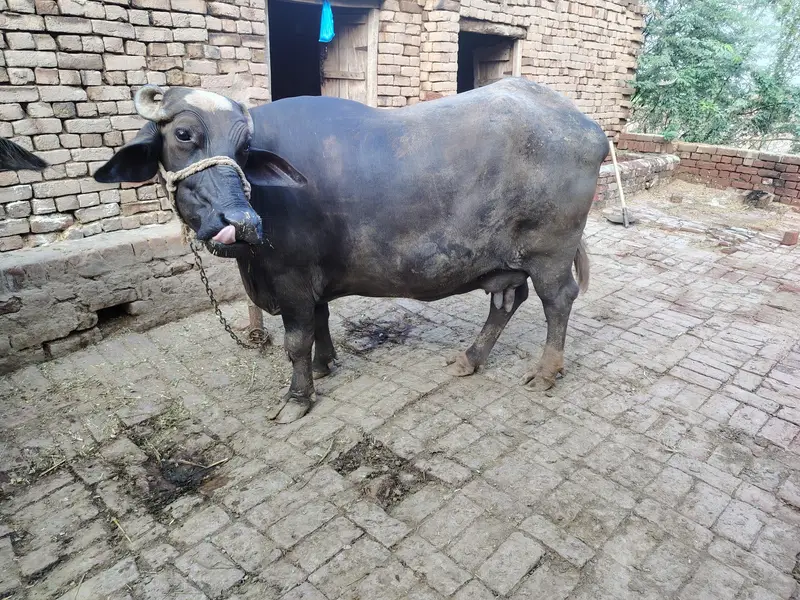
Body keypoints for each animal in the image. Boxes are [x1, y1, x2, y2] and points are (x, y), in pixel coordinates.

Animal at [95, 79, 609, 422]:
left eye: (244, 147)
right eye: (183, 135)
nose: (239, 223)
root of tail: (587, 126)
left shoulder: (291, 278)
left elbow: (296, 341)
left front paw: (298, 397)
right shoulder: (311, 280)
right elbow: (321, 320)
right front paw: (325, 365)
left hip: (549, 255)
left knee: (557, 301)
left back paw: (546, 371)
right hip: (506, 262)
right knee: (506, 302)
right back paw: (470, 359)